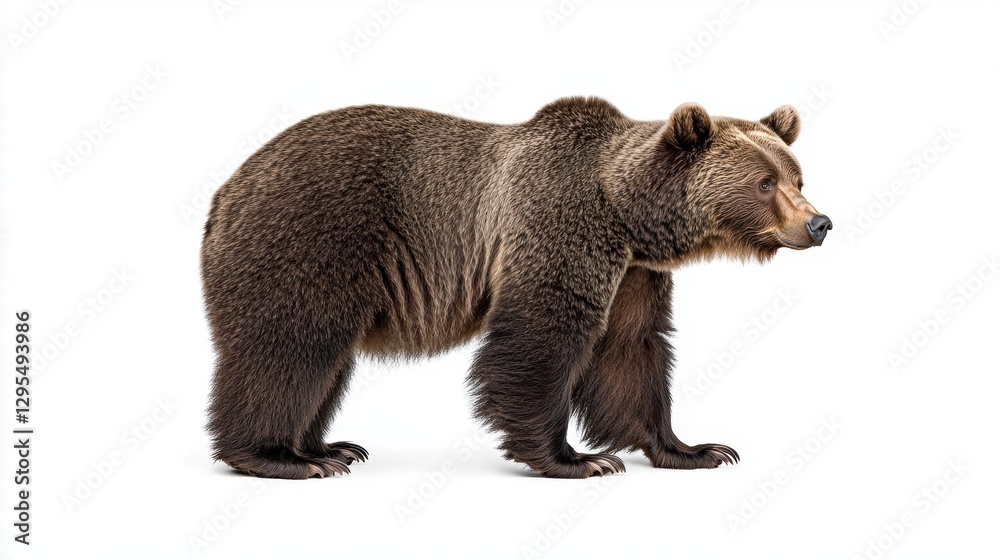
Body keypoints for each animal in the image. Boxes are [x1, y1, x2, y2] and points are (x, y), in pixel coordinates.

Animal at [200, 97, 831, 479]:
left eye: (798, 176)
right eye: (764, 182)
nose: (819, 223)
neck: (625, 214)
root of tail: (224, 192)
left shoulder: (635, 272)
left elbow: (631, 350)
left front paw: (698, 449)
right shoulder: (560, 226)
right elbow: (541, 338)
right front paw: (577, 460)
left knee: (324, 363)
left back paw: (329, 447)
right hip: (309, 242)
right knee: (291, 347)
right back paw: (279, 456)